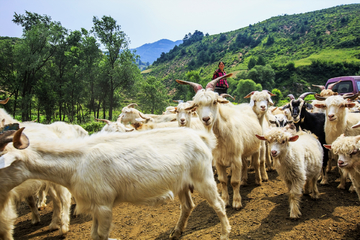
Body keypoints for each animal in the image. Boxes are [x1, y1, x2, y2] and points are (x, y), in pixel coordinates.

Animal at [0, 126, 231, 239]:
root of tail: (200, 137)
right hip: (182, 184)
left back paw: (224, 233)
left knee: (218, 204)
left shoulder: (104, 206)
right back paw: (176, 232)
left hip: (203, 177)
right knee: (188, 205)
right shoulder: (94, 206)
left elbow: (102, 235)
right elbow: (94, 235)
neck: (76, 162)